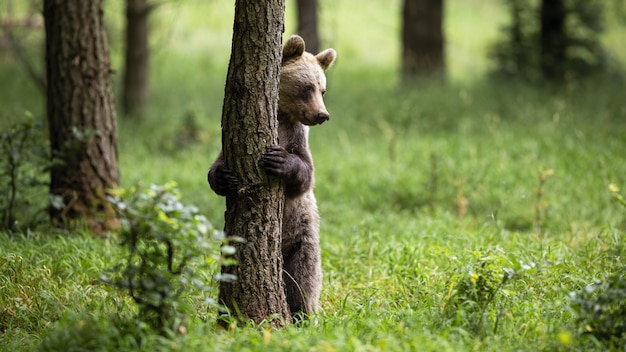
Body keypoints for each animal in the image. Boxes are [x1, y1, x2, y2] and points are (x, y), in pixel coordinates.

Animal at [207, 35, 336, 316]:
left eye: (322, 89)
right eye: (307, 87)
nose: (322, 115)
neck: (282, 116)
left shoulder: (297, 137)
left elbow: (305, 174)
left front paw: (278, 160)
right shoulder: (229, 140)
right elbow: (216, 168)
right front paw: (224, 177)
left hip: (302, 240)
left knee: (303, 280)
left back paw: (302, 313)